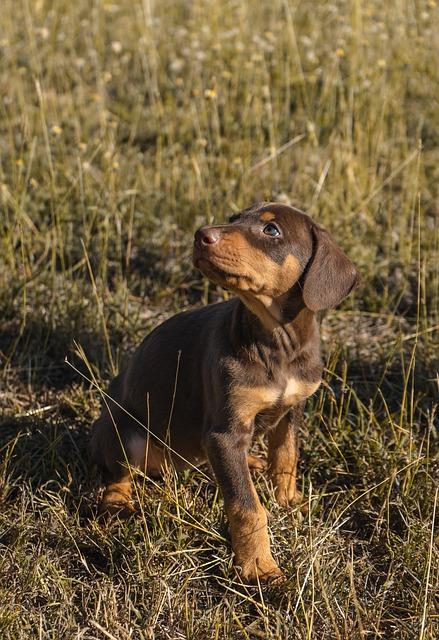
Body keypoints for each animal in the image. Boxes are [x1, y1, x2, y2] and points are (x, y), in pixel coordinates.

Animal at [90, 202, 360, 584]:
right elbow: (247, 505)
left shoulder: (292, 409)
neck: (276, 342)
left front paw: (288, 500)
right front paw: (259, 568)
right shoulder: (224, 433)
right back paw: (117, 503)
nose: (200, 235)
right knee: (118, 472)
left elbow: (286, 458)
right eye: (234, 219)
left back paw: (252, 461)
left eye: (271, 231)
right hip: (127, 432)